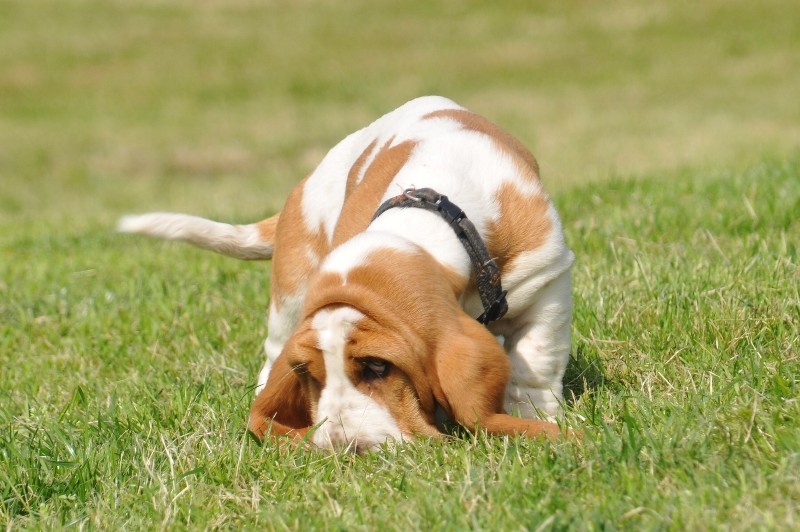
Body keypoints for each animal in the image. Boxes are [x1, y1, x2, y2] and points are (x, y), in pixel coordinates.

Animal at [120, 96, 576, 454]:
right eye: (309, 374)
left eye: (377, 367)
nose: (341, 447)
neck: (433, 217)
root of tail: (300, 189)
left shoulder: (548, 280)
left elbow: (535, 361)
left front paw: (534, 415)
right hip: (290, 295)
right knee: (272, 352)